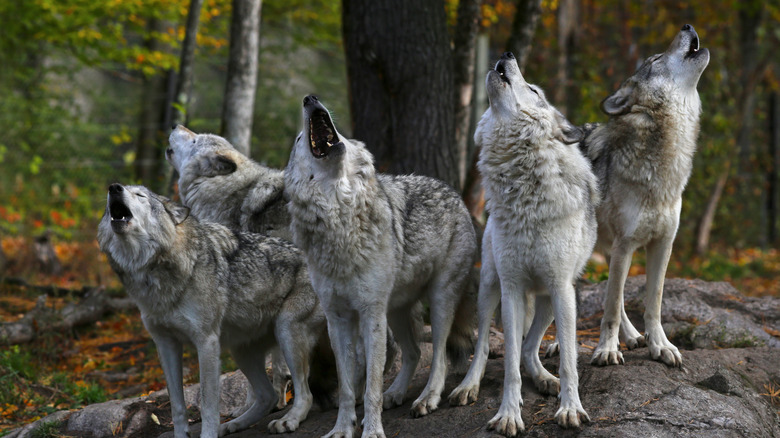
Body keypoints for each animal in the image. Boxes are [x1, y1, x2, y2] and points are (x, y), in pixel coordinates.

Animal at [97, 183, 325, 437]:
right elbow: (177, 405)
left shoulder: (206, 342)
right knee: (268, 396)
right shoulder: (165, 345)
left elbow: (207, 403)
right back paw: (232, 425)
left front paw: (208, 433)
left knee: (304, 393)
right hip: (241, 351)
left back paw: (288, 420)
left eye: (140, 195)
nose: (114, 188)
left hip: (286, 331)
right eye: (112, 195)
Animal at [284, 95, 477, 438]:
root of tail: (453, 191)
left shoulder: (370, 315)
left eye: (344, 133)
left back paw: (427, 399)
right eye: (298, 140)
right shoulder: (338, 321)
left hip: (440, 301)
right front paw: (342, 429)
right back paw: (396, 393)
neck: (339, 215)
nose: (309, 98)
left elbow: (370, 385)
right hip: (396, 311)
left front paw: (372, 430)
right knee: (414, 353)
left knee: (439, 356)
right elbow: (348, 388)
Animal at [450, 52, 598, 436]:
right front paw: (508, 414)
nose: (507, 54)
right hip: (490, 288)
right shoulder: (512, 287)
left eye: (533, 90)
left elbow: (568, 361)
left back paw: (546, 380)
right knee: (485, 346)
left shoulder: (560, 289)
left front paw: (570, 408)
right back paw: (468, 386)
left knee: (531, 347)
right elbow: (509, 365)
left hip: (552, 298)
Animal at [584, 24, 709, 368]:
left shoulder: (662, 245)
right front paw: (606, 350)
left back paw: (633, 337)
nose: (687, 26)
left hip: (606, 248)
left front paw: (661, 346)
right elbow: (611, 308)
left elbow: (652, 303)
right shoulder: (626, 244)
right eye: (654, 59)